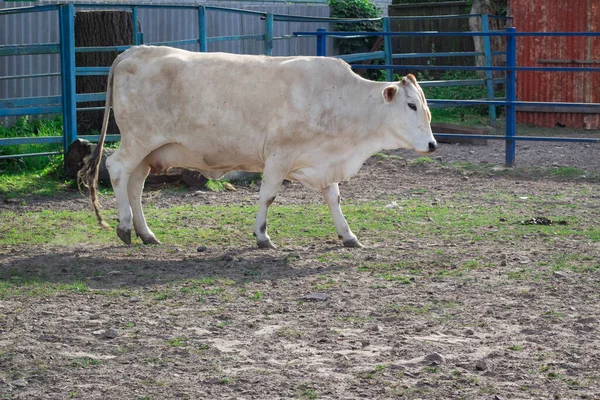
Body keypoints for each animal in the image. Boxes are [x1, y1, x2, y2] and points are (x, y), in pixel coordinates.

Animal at [79, 46, 436, 247]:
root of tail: (132, 51)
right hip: (138, 139)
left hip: (149, 150)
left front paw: (348, 236)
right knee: (117, 169)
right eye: (411, 106)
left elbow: (333, 198)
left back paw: (146, 233)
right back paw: (125, 227)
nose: (432, 144)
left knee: (135, 184)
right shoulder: (278, 155)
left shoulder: (322, 161)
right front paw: (263, 236)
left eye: (424, 106)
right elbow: (268, 196)